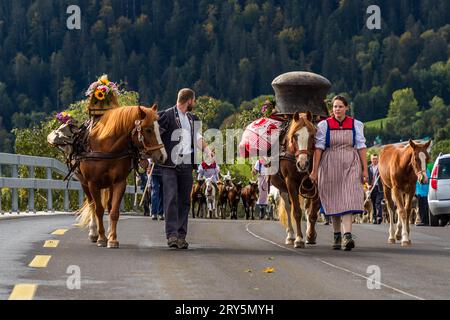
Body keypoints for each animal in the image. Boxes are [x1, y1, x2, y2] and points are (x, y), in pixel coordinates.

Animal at [75, 105, 167, 248]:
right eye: (148, 129)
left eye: (159, 128)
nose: (163, 156)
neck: (106, 147)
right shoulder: (92, 183)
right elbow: (98, 210)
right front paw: (101, 238)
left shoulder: (119, 182)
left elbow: (114, 211)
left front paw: (112, 238)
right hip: (84, 183)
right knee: (91, 204)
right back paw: (94, 232)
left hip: (108, 185)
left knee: (108, 205)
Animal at [268, 111, 322, 249]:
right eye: (294, 136)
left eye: (312, 135)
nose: (302, 164)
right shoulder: (290, 182)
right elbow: (296, 212)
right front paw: (298, 239)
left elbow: (313, 212)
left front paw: (310, 235)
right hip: (283, 189)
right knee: (288, 208)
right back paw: (290, 236)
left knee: (307, 208)